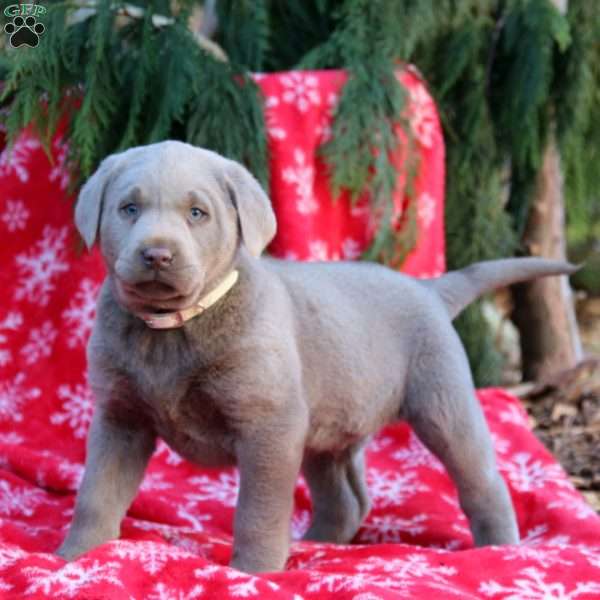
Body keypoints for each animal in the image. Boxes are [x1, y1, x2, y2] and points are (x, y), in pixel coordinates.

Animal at [58, 141, 576, 572]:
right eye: (129, 208)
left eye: (197, 213)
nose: (157, 255)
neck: (172, 328)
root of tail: (429, 287)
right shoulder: (121, 418)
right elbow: (97, 492)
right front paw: (77, 555)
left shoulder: (269, 424)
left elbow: (259, 510)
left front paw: (255, 571)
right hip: (328, 427)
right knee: (346, 499)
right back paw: (316, 543)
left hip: (442, 400)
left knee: (481, 479)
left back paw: (500, 550)